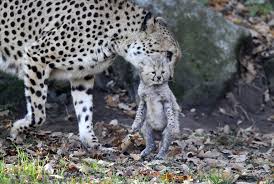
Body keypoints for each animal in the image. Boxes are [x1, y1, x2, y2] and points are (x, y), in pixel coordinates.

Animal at [0, 0, 182, 150]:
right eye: (168, 54)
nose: (170, 78)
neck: (115, 39)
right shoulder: (36, 56)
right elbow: (38, 114)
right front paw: (17, 129)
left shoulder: (82, 74)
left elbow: (85, 109)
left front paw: (91, 142)